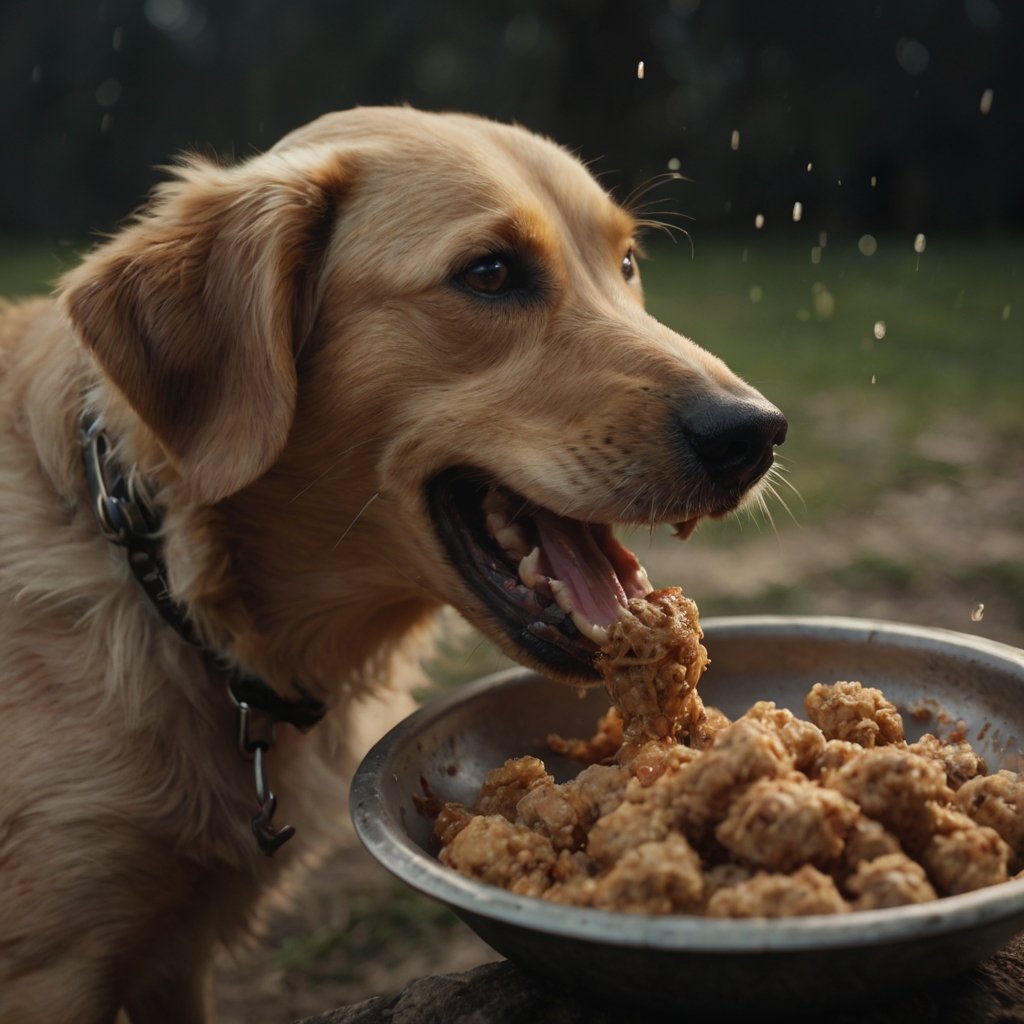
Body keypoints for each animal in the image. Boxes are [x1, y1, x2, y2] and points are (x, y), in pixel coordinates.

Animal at [0, 108, 782, 1019]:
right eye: (489, 273)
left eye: (625, 263)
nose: (755, 433)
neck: (171, 590)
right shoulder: (55, 967)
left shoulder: (178, 957)